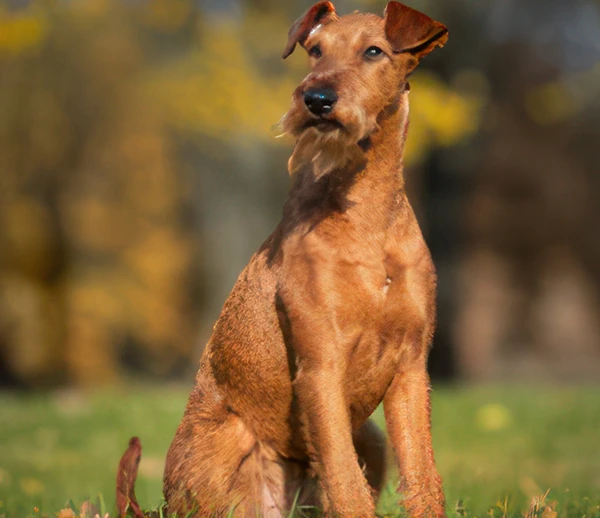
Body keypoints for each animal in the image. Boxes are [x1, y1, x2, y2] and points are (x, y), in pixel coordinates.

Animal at [117, 2, 448, 516]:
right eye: (315, 51)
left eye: (374, 51)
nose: (316, 99)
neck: (367, 214)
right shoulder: (321, 365)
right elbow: (345, 480)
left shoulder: (411, 368)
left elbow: (423, 477)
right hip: (224, 447)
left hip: (371, 437)